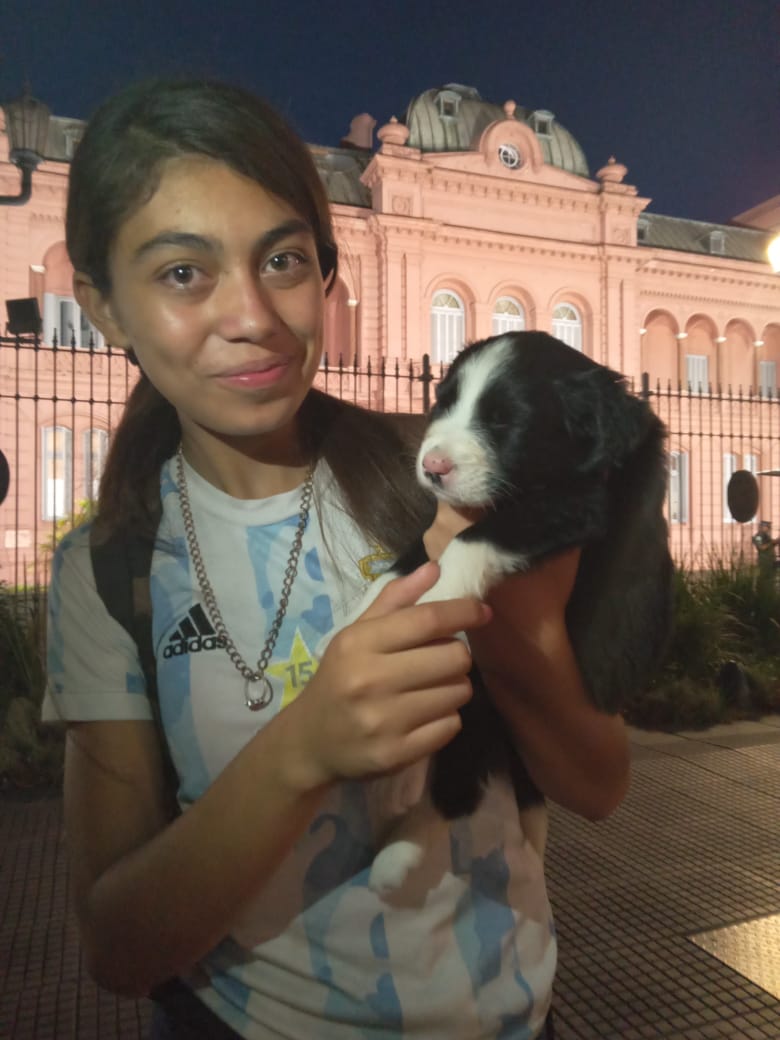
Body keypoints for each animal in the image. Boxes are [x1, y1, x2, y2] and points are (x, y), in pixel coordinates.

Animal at [353, 334, 673, 894]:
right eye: (443, 403)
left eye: (506, 422)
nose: (433, 467)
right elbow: (418, 554)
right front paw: (370, 604)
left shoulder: (575, 504)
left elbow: (471, 540)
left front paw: (436, 598)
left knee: (459, 785)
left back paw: (399, 854)